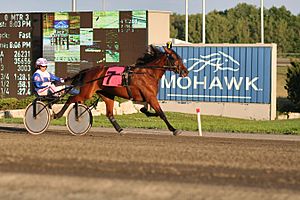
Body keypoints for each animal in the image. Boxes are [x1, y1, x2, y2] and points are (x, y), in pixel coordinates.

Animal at [55, 45, 189, 135]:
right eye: (173, 57)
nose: (185, 71)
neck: (148, 73)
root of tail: (88, 70)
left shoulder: (146, 98)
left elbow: (149, 110)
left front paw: (146, 111)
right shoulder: (150, 97)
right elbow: (161, 113)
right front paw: (174, 129)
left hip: (107, 95)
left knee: (109, 114)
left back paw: (120, 129)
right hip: (87, 93)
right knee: (71, 98)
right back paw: (61, 115)